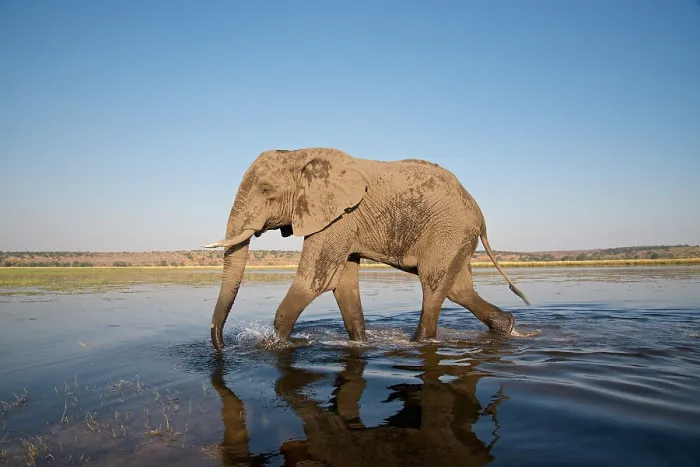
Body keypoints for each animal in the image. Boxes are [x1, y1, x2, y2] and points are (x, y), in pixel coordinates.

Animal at [203, 147, 529, 350]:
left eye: (266, 191)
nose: (221, 347)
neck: (300, 154)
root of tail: (480, 214)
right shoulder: (342, 222)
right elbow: (343, 284)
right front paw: (361, 342)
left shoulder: (338, 218)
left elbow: (314, 282)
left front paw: (273, 346)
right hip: (455, 238)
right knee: (459, 290)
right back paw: (509, 327)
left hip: (449, 232)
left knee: (434, 288)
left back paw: (418, 343)